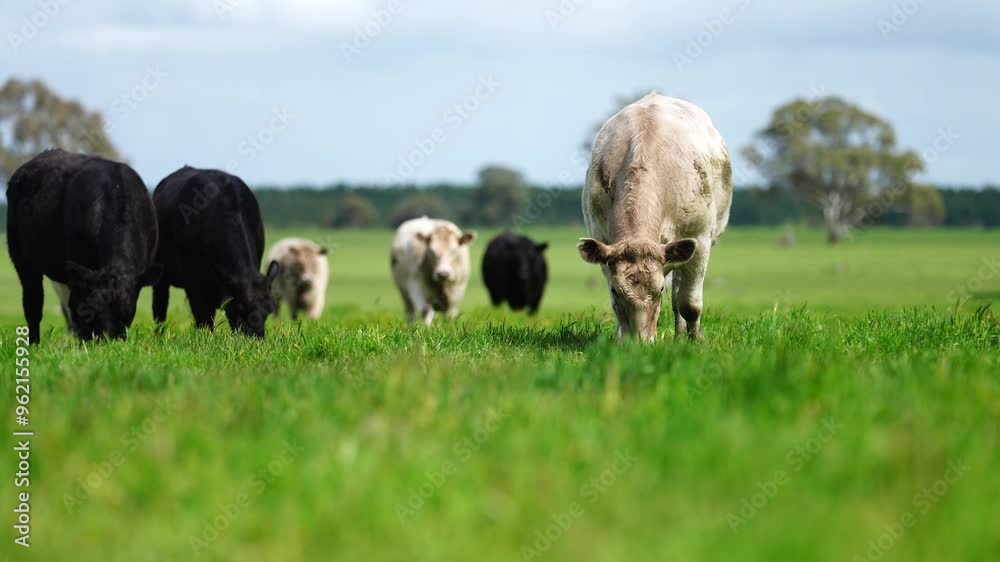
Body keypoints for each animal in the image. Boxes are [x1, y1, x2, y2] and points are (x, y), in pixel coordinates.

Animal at [6, 149, 161, 343]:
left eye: (126, 312)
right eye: (92, 309)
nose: (107, 342)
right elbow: (75, 311)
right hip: (22, 260)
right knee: (33, 304)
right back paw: (34, 342)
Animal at [151, 166, 279, 338]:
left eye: (269, 309)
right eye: (240, 307)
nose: (255, 339)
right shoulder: (196, 288)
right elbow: (204, 322)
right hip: (161, 276)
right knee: (159, 309)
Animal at [578, 93, 732, 342]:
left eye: (659, 289)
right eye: (614, 290)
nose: (638, 343)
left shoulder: (699, 241)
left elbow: (690, 305)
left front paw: (695, 340)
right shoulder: (603, 242)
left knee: (679, 297)